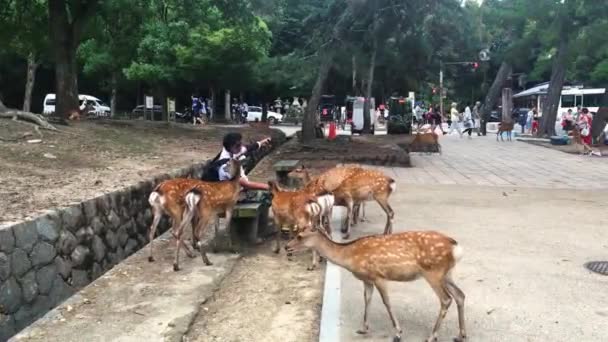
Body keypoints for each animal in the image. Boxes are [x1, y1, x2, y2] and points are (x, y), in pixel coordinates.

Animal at [284, 228, 466, 342]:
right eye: (295, 233)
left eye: (300, 235)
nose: (287, 247)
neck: (350, 256)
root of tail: (456, 247)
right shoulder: (367, 279)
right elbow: (367, 299)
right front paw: (364, 328)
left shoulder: (379, 276)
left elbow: (387, 302)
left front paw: (398, 333)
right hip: (446, 274)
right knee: (460, 295)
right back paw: (460, 335)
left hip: (433, 272)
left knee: (446, 299)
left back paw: (431, 336)